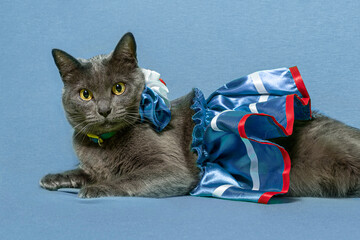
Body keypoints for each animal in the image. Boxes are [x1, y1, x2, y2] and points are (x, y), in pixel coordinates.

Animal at [39, 32, 360, 200]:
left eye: (118, 88)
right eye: (85, 95)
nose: (104, 109)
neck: (104, 145)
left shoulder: (170, 170)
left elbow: (126, 179)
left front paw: (95, 188)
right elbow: (83, 171)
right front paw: (56, 178)